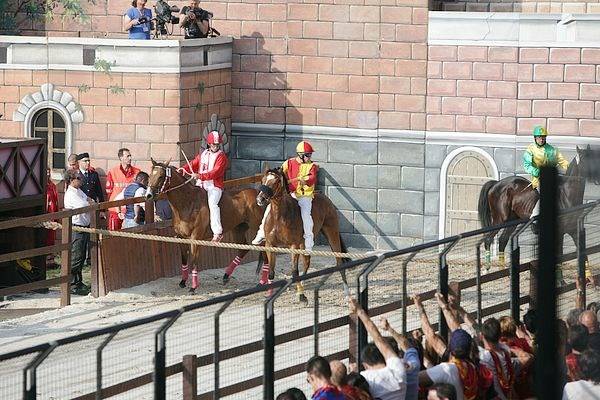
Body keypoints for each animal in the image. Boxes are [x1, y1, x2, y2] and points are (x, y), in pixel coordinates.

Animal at [145, 159, 264, 294]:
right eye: (150, 175)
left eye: (160, 176)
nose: (148, 195)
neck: (188, 203)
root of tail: (257, 195)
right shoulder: (181, 237)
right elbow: (184, 260)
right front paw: (183, 281)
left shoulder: (195, 238)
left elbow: (194, 261)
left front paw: (193, 286)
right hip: (238, 228)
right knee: (243, 249)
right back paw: (226, 275)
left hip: (257, 227)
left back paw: (263, 282)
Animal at [254, 167, 350, 302]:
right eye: (263, 180)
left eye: (276, 182)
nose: (260, 199)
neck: (279, 217)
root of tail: (325, 198)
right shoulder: (270, 245)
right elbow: (271, 272)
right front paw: (269, 295)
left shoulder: (293, 245)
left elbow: (294, 271)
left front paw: (302, 296)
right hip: (304, 243)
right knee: (306, 262)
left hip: (332, 233)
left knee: (338, 261)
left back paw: (346, 292)